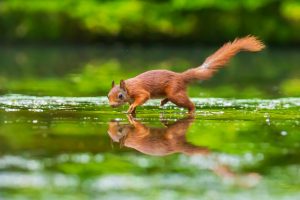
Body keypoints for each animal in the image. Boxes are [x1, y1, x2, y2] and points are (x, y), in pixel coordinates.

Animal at [108, 36, 264, 114]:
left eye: (120, 96)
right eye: (108, 96)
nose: (112, 105)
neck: (129, 88)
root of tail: (181, 76)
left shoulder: (139, 91)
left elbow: (143, 97)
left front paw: (131, 108)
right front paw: (131, 111)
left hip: (176, 94)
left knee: (190, 105)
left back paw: (191, 110)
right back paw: (163, 102)